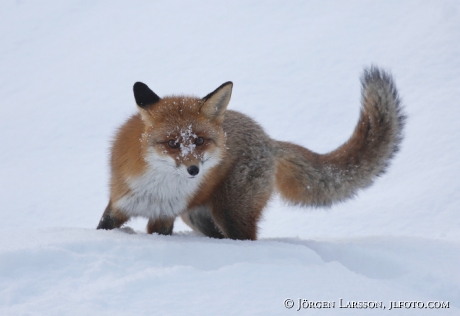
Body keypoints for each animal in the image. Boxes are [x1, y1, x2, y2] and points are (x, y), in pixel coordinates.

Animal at [97, 66, 406, 239]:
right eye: (173, 143)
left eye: (199, 140)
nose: (194, 170)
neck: (158, 189)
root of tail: (268, 139)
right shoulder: (118, 206)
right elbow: (104, 228)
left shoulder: (164, 217)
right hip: (199, 218)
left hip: (231, 214)